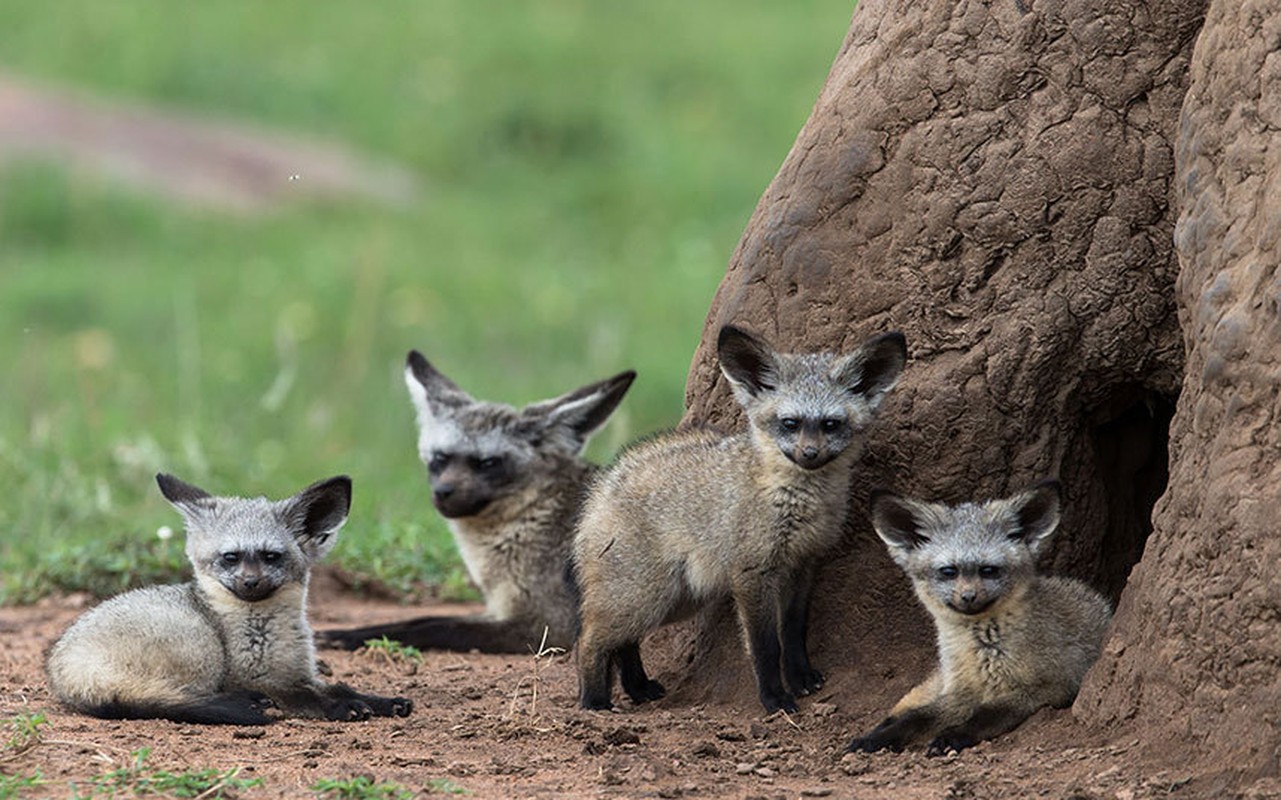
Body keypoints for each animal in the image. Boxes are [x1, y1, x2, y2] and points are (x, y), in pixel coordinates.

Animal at [571, 325, 912, 711]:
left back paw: (638, 688)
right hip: (643, 598)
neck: (795, 502)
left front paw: (801, 677)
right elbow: (766, 647)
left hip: (674, 601)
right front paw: (774, 698)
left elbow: (793, 632)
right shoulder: (752, 573)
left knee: (625, 642)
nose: (809, 454)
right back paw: (594, 703)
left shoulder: (803, 566)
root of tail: (599, 491)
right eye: (790, 423)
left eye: (831, 424)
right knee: (590, 640)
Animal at [840, 481, 1111, 752]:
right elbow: (918, 717)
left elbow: (986, 715)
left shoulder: (1050, 688)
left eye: (988, 570)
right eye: (949, 571)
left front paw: (953, 736)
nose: (968, 597)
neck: (983, 652)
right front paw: (878, 738)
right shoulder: (961, 692)